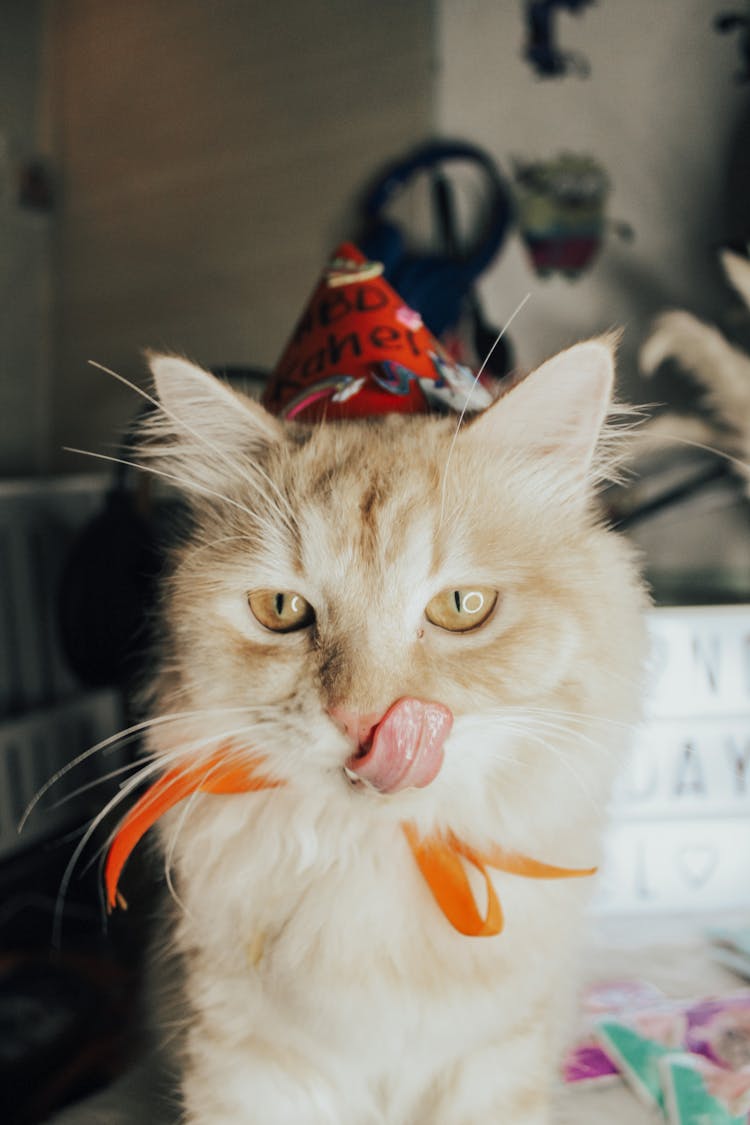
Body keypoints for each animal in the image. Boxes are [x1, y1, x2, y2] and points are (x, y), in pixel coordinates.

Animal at [89, 335, 647, 1125]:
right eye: (282, 608)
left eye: (463, 605)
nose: (361, 719)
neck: (374, 877)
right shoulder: (247, 1063)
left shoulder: (498, 1056)